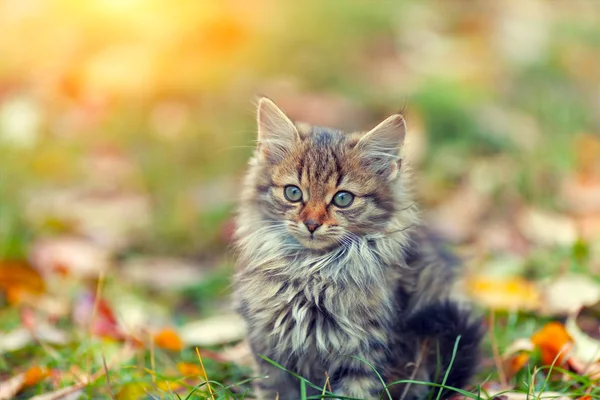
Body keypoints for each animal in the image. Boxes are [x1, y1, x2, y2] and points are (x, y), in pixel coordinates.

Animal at [232, 97, 480, 400]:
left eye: (343, 199)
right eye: (293, 193)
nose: (312, 224)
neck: (312, 271)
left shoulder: (365, 350)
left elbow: (356, 391)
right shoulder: (268, 345)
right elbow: (275, 389)